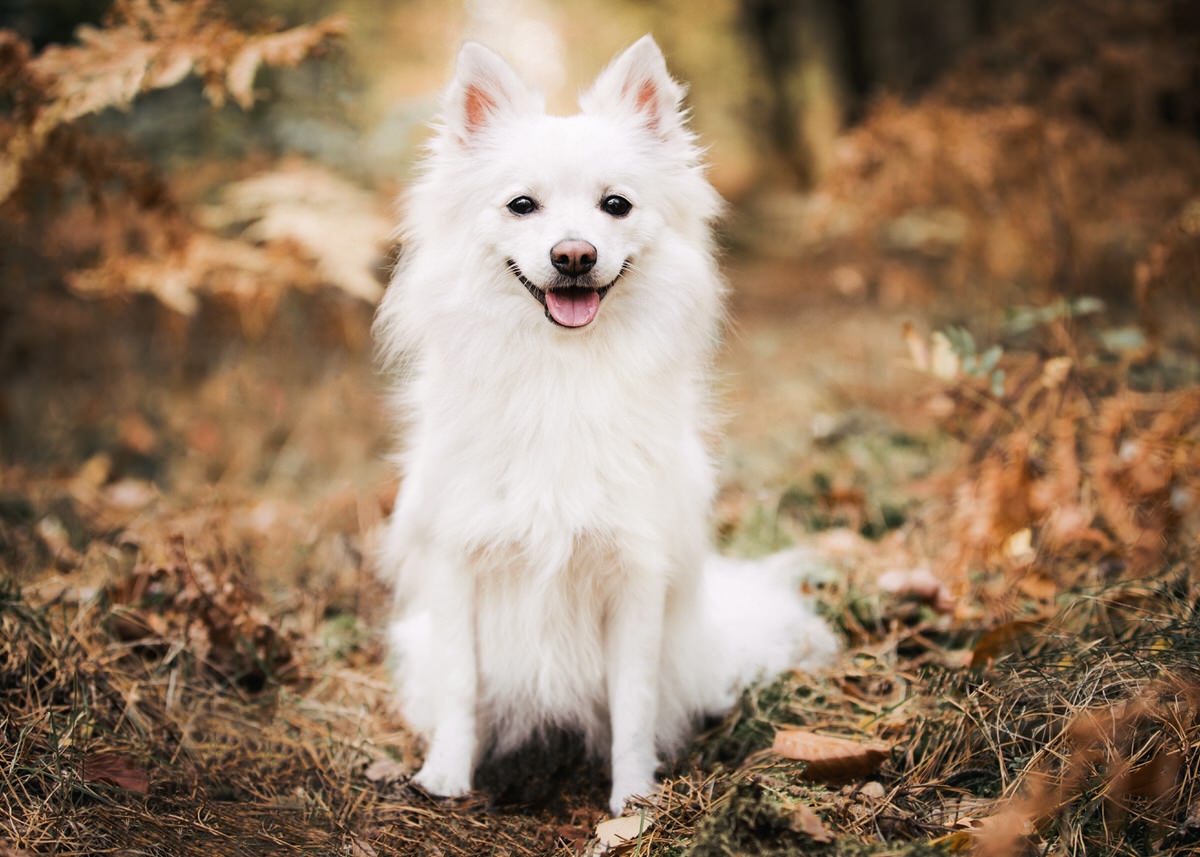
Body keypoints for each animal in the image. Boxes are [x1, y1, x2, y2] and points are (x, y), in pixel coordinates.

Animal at [372, 35, 835, 816]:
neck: (563, 373)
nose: (574, 254)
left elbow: (634, 703)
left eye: (615, 206)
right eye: (521, 205)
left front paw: (634, 801)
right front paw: (446, 777)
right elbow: (462, 685)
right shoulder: (459, 563)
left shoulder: (634, 576)